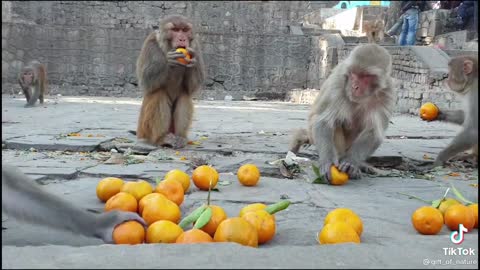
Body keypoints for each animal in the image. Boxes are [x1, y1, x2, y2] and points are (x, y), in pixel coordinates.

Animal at [135, 14, 204, 150]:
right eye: (175, 30)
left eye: (185, 30)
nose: (182, 39)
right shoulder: (150, 44)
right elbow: (146, 82)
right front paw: (168, 61)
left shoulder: (196, 46)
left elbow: (190, 89)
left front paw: (192, 62)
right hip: (144, 129)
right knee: (158, 94)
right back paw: (161, 139)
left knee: (184, 96)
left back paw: (180, 138)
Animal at [288, 44, 394, 182]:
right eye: (354, 74)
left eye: (365, 76)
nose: (354, 86)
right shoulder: (338, 83)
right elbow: (324, 122)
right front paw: (328, 163)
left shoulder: (387, 93)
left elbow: (374, 131)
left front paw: (351, 162)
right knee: (336, 121)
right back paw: (338, 157)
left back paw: (359, 164)